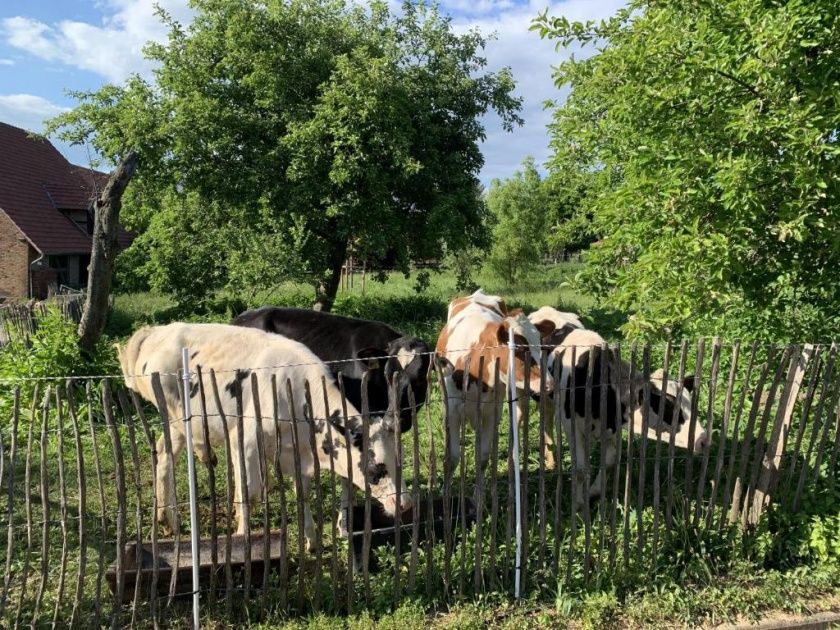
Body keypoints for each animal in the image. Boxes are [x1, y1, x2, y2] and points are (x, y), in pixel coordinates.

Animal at [116, 324, 412, 552]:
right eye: (376, 468)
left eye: (398, 461)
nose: (405, 503)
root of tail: (156, 332)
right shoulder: (244, 443)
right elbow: (249, 494)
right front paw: (241, 540)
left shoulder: (297, 454)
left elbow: (302, 495)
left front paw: (311, 541)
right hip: (174, 417)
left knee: (164, 457)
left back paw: (167, 520)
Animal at [434, 288, 556, 476]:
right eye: (518, 349)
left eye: (540, 343)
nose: (549, 384)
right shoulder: (453, 410)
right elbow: (452, 458)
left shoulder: (492, 411)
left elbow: (483, 457)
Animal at [524, 308, 708, 512]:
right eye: (667, 405)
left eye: (691, 403)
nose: (703, 440)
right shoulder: (570, 425)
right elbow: (580, 469)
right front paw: (578, 504)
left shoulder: (614, 428)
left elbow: (609, 463)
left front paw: (593, 492)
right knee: (546, 422)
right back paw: (550, 461)